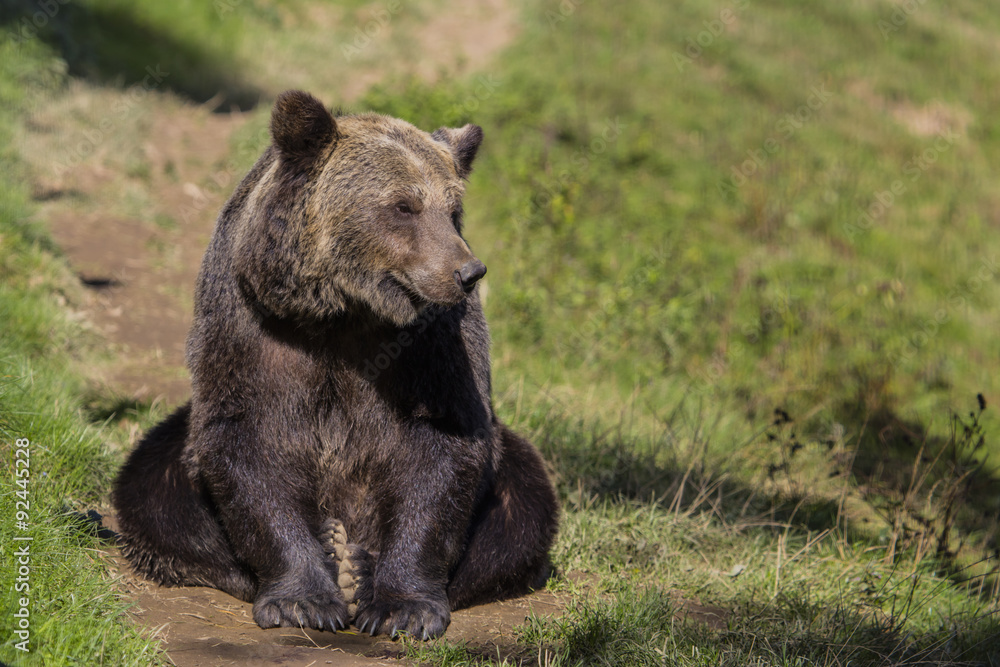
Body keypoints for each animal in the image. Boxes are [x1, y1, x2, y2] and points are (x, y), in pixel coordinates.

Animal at [115, 91, 564, 640]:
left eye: (453, 208)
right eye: (404, 205)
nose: (467, 271)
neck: (343, 313)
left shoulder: (434, 346)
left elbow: (441, 448)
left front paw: (401, 606)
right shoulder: (254, 327)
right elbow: (249, 440)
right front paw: (304, 598)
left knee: (521, 508)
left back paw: (359, 564)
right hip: (170, 462)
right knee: (159, 492)